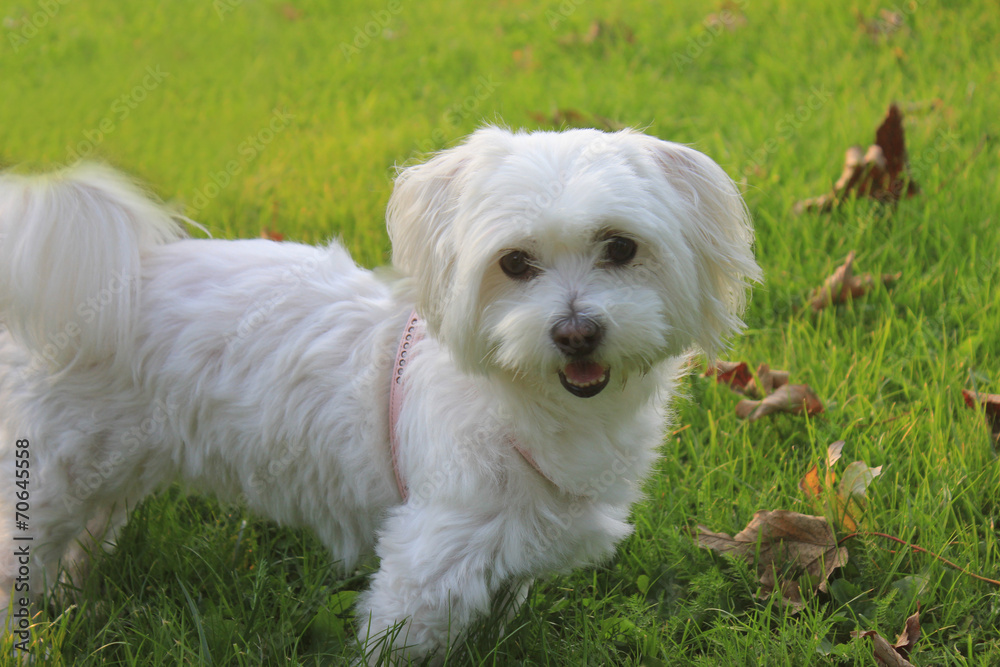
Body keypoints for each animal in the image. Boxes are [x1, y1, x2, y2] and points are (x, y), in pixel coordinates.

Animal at [0, 128, 756, 660]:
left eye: (620, 247)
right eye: (514, 263)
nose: (576, 332)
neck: (530, 404)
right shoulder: (429, 560)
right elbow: (398, 638)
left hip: (111, 467)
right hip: (50, 475)